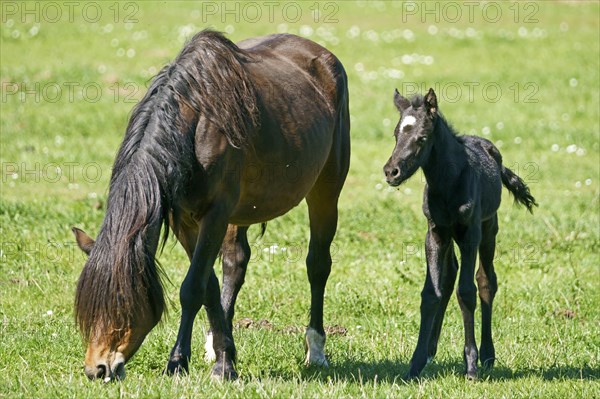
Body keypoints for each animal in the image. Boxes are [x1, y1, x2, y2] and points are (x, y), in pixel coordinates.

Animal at [73, 30, 352, 382]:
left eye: (122, 301)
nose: (97, 369)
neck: (193, 124)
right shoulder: (186, 221)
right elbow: (208, 284)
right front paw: (224, 356)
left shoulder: (215, 213)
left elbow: (192, 288)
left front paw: (180, 362)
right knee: (236, 262)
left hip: (326, 189)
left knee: (317, 264)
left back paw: (315, 349)